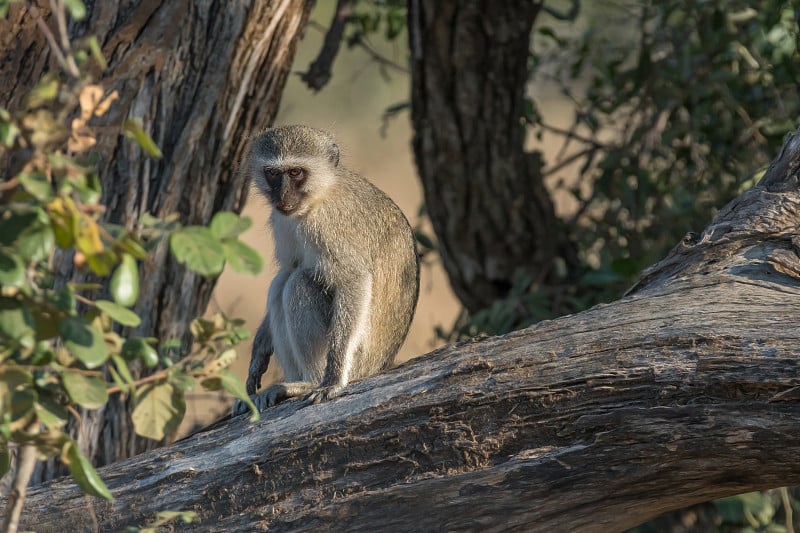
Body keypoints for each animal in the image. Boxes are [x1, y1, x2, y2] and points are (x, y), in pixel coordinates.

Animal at [231, 125, 418, 416]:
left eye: (295, 173)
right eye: (273, 173)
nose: (282, 197)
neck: (318, 197)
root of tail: (381, 365)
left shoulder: (327, 227)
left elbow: (354, 281)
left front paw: (332, 380)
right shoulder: (284, 221)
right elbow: (289, 266)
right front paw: (259, 353)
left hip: (360, 361)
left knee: (296, 284)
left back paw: (307, 383)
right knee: (283, 280)